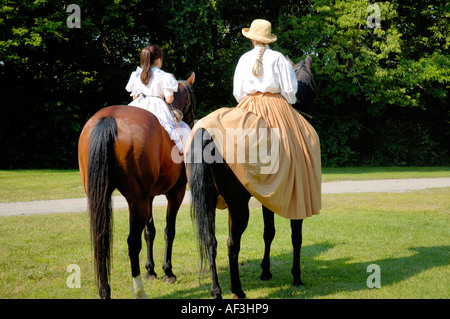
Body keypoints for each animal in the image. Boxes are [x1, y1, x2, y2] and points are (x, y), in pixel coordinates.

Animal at [78, 73, 197, 300]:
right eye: (192, 97)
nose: (193, 119)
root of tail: (109, 118)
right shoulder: (175, 193)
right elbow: (169, 231)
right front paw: (167, 271)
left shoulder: (149, 196)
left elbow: (150, 231)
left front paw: (151, 270)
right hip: (137, 201)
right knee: (132, 242)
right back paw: (139, 290)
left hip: (108, 198)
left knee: (101, 239)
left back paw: (105, 290)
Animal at [186, 57, 316, 300]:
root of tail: (205, 132)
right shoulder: (297, 201)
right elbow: (296, 236)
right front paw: (296, 276)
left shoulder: (270, 198)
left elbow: (269, 232)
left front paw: (265, 271)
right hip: (238, 205)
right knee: (231, 243)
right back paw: (237, 290)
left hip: (209, 200)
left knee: (210, 241)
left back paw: (216, 290)